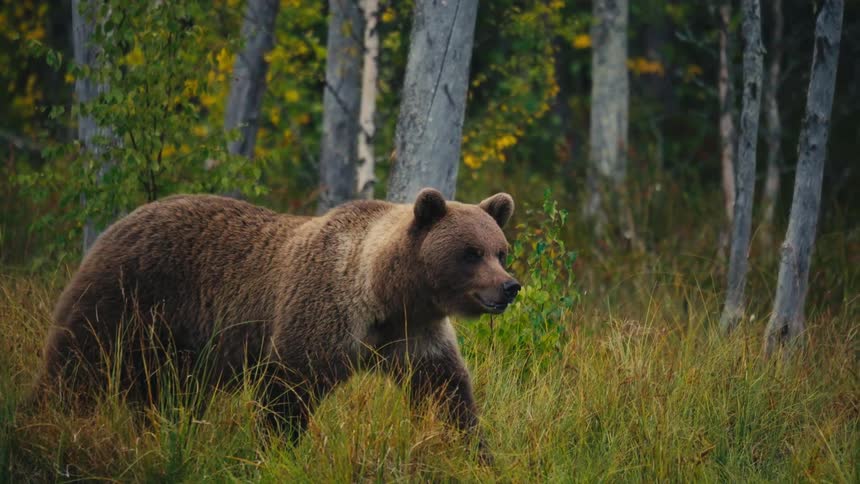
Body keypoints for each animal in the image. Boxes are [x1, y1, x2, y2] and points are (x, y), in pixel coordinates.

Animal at [38, 187, 520, 458]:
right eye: (470, 253)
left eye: (500, 250)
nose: (509, 287)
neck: (387, 295)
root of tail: (122, 221)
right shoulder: (322, 314)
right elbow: (288, 390)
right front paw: (277, 448)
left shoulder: (416, 335)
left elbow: (446, 392)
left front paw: (474, 452)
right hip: (129, 297)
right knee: (78, 363)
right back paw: (49, 419)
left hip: (176, 344)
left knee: (168, 393)